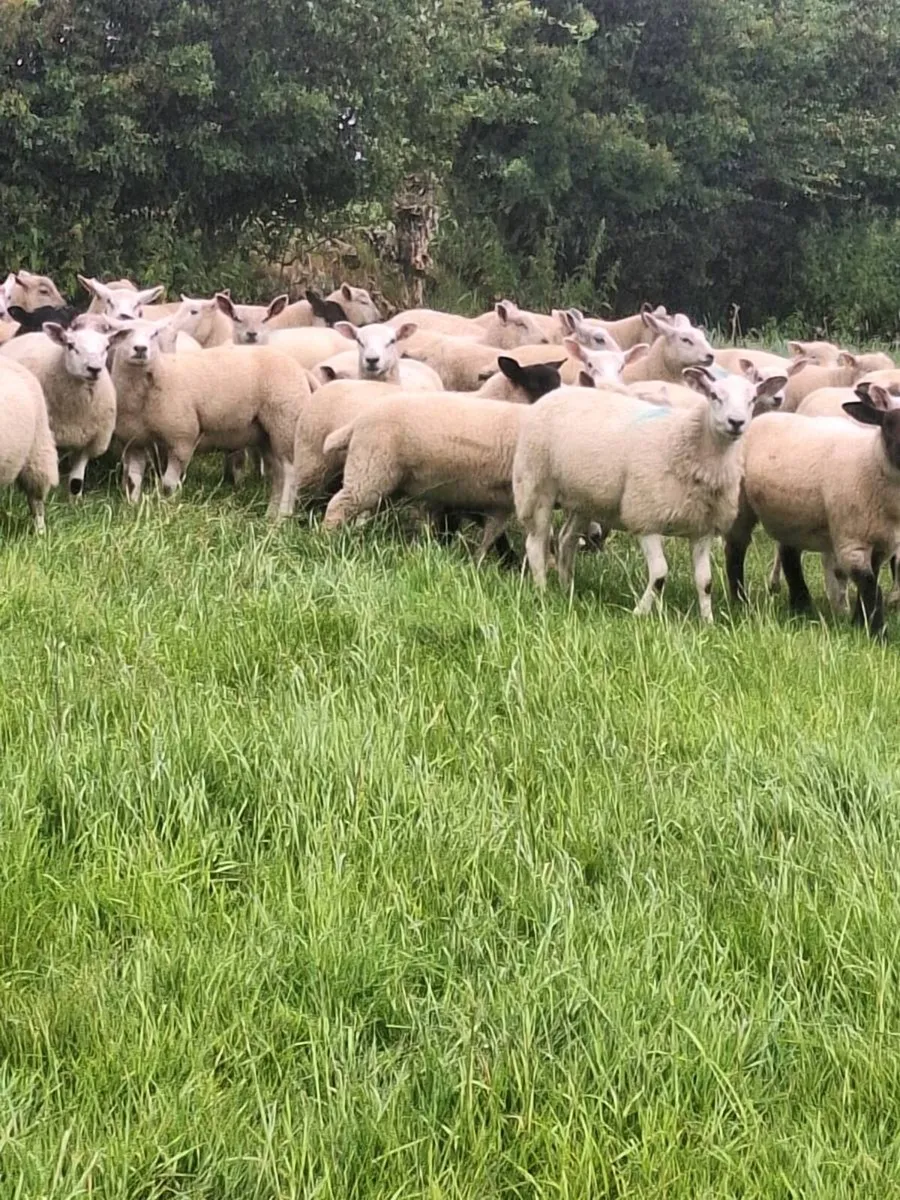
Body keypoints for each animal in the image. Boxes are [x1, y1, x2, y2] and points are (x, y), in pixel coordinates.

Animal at [0, 320, 124, 497]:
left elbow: (76, 482)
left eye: (107, 347)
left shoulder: (90, 442)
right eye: (70, 345)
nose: (94, 369)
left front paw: (75, 501)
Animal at [110, 320, 310, 517]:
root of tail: (300, 369)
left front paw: (167, 509)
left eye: (154, 334)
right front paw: (132, 508)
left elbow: (168, 484)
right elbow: (132, 481)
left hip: (285, 422)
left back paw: (283, 516)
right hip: (267, 435)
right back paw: (270, 515)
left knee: (290, 472)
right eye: (124, 333)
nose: (140, 349)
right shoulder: (134, 442)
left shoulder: (182, 438)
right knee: (278, 474)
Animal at [512, 366, 783, 620]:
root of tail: (559, 391)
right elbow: (660, 574)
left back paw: (566, 588)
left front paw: (708, 621)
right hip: (535, 483)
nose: (736, 422)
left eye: (752, 399)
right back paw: (543, 591)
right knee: (536, 542)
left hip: (584, 500)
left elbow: (705, 581)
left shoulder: (702, 529)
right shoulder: (646, 518)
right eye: (714, 395)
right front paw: (639, 614)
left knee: (566, 539)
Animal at [724, 402, 900, 637]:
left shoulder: (882, 544)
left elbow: (868, 584)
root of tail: (760, 417)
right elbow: (870, 585)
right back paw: (740, 601)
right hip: (741, 504)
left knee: (789, 555)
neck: (871, 460)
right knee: (736, 549)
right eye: (888, 425)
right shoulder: (851, 540)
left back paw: (801, 605)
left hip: (790, 515)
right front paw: (877, 633)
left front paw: (858, 622)